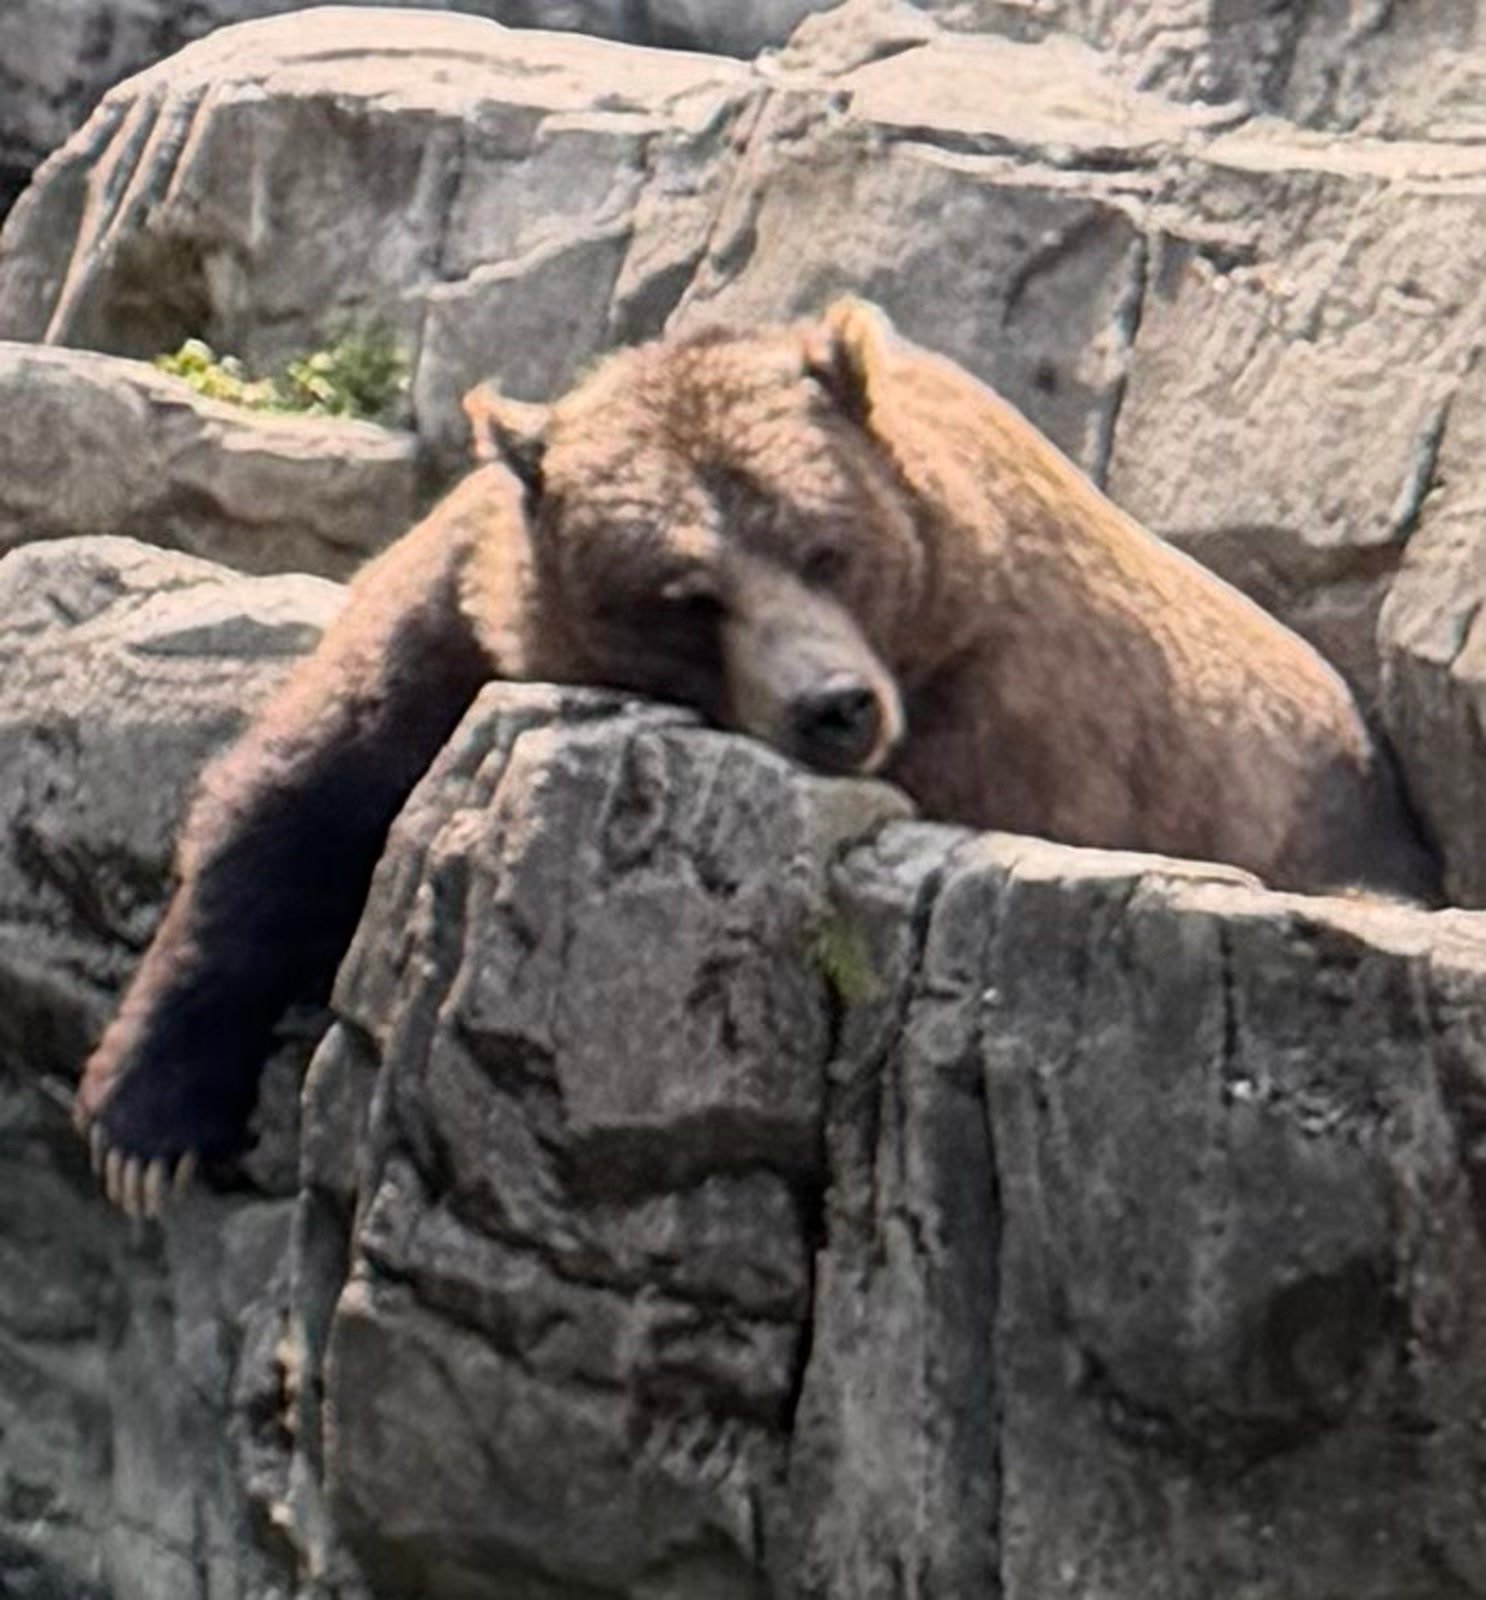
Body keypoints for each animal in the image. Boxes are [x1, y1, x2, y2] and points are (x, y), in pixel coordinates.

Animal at [74, 297, 1440, 1215]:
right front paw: (146, 1124)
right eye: (688, 594)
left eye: (823, 544)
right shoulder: (463, 605)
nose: (834, 707)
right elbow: (303, 787)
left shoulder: (1019, 711)